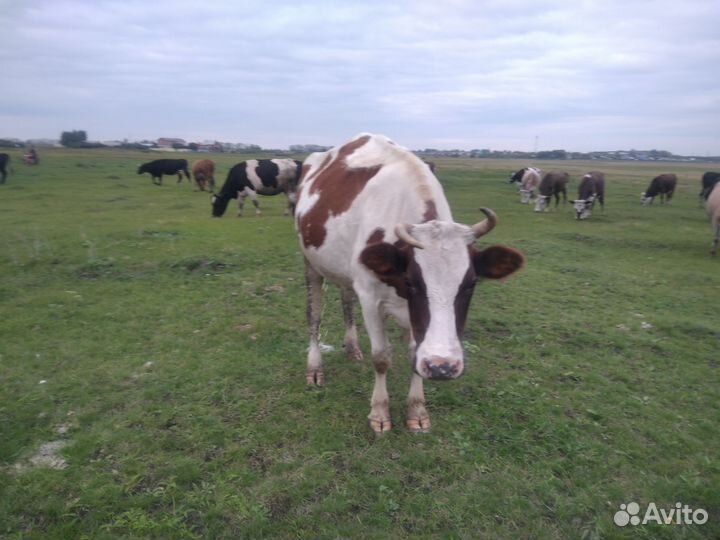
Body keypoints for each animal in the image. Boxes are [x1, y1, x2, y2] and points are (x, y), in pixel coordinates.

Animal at [295, 134, 525, 433]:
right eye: (413, 282)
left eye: (470, 284)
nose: (442, 367)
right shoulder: (370, 297)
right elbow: (381, 357)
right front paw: (379, 413)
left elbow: (415, 354)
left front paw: (417, 409)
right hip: (311, 263)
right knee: (314, 315)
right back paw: (314, 368)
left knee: (346, 299)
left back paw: (352, 348)